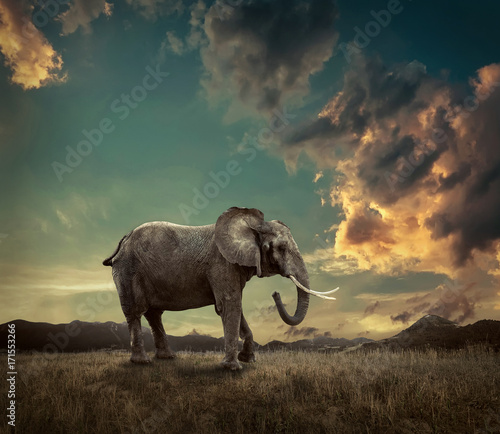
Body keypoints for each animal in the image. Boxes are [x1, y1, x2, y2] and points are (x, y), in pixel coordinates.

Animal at [102, 207, 338, 370]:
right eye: (281, 248)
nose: (275, 294)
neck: (251, 226)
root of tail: (123, 240)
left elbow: (235, 306)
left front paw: (248, 360)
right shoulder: (222, 264)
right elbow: (229, 305)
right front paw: (232, 369)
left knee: (154, 314)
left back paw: (167, 358)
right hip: (129, 270)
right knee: (135, 312)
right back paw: (141, 362)